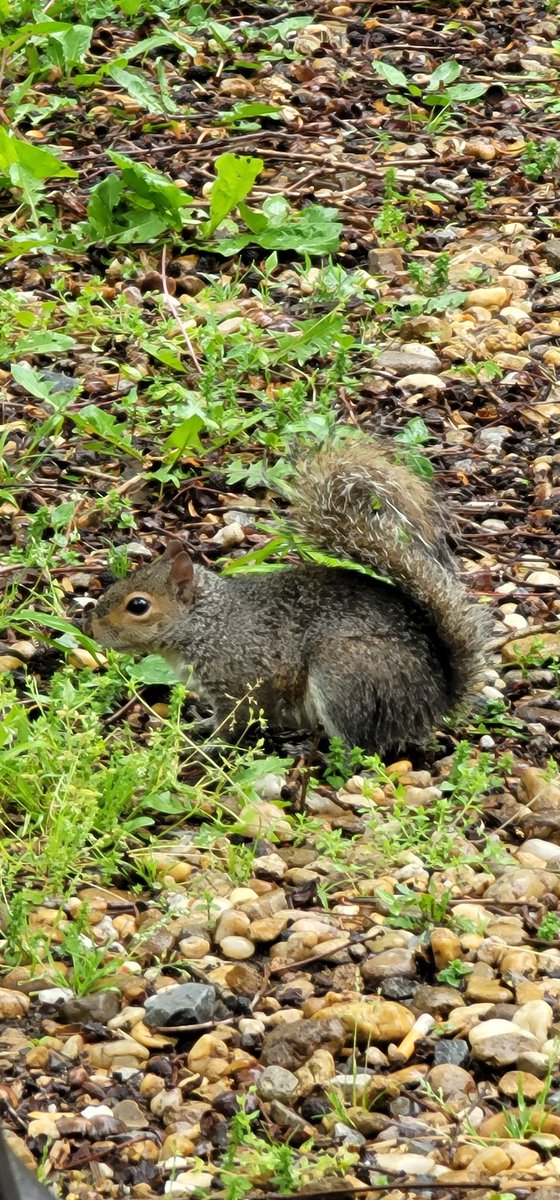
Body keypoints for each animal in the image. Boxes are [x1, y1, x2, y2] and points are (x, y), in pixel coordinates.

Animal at [85, 435, 489, 755]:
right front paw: (197, 726)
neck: (208, 624)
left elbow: (233, 723)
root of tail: (434, 700)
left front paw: (206, 747)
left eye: (138, 605)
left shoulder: (240, 684)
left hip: (346, 677)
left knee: (361, 748)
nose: (92, 630)